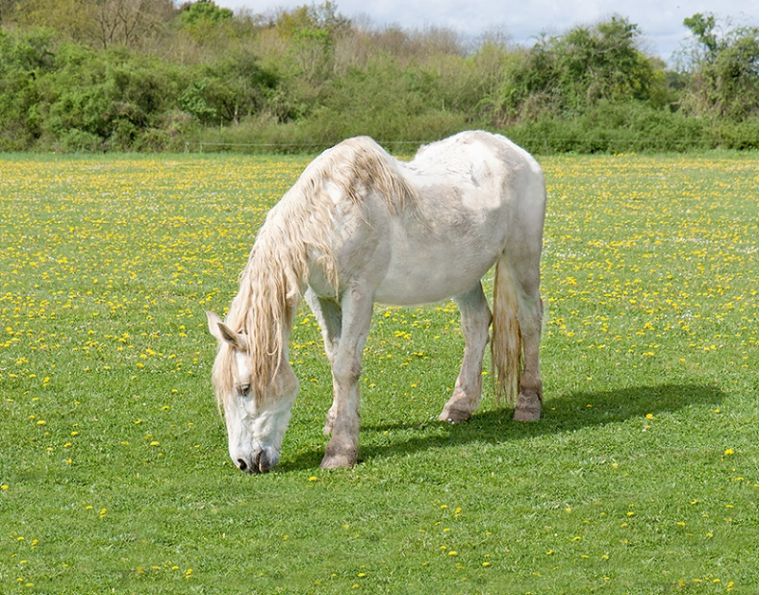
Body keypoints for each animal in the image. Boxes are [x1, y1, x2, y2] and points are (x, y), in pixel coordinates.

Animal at [206, 131, 546, 473]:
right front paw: (337, 419)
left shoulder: (359, 293)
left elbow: (346, 366)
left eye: (245, 388)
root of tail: (518, 154)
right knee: (476, 323)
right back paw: (459, 406)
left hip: (522, 259)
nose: (244, 462)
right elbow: (334, 356)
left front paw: (340, 450)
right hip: (463, 276)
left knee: (530, 320)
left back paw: (528, 404)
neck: (332, 217)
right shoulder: (322, 297)